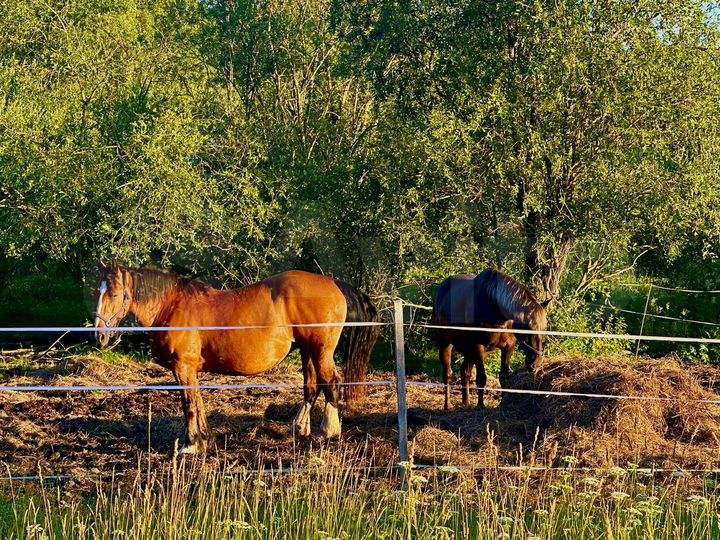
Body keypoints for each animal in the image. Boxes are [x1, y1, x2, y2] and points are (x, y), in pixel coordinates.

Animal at [94, 262, 382, 452]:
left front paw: (191, 444)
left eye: (115, 294)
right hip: (307, 350)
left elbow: (189, 404)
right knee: (312, 386)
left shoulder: (182, 367)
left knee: (331, 383)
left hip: (320, 350)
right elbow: (198, 402)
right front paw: (205, 438)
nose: (100, 336)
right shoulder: (190, 370)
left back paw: (327, 432)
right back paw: (300, 427)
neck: (172, 306)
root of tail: (334, 283)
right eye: (97, 291)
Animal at [430, 270, 548, 410]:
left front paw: (502, 403)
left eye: (545, 328)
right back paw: (447, 405)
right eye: (529, 328)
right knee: (448, 374)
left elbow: (504, 376)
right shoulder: (478, 346)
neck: (494, 306)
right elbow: (481, 378)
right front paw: (481, 405)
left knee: (465, 372)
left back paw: (466, 403)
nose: (536, 363)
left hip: (468, 350)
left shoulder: (508, 346)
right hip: (446, 345)